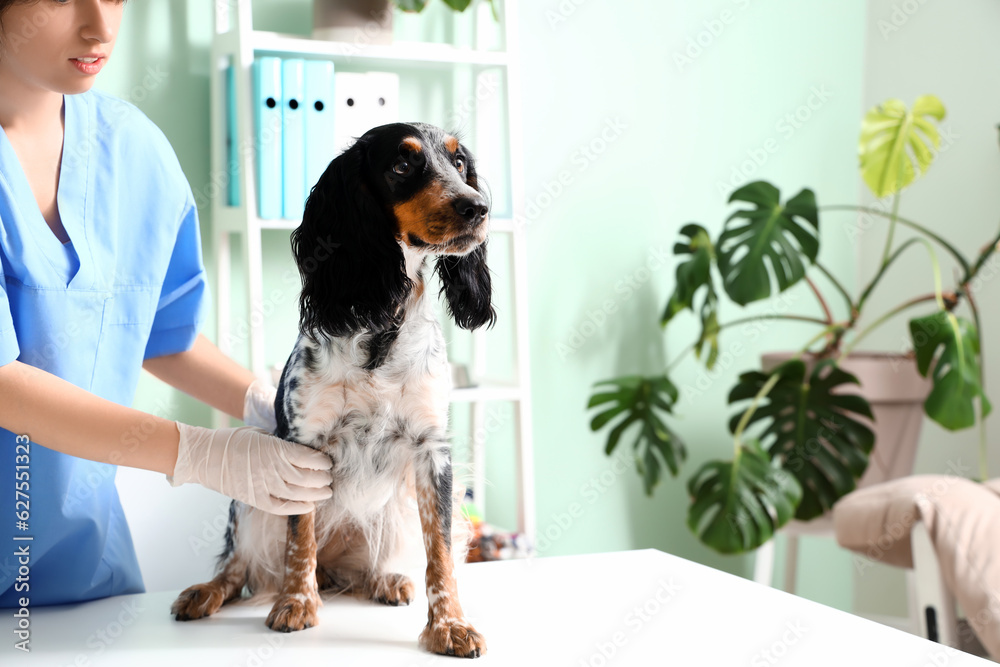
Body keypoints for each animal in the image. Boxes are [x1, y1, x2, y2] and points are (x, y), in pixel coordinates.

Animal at [170, 121, 494, 656]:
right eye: (402, 165)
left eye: (460, 162)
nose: (478, 206)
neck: (383, 324)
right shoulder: (302, 452)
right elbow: (299, 540)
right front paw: (297, 603)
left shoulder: (432, 453)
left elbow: (441, 554)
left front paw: (449, 625)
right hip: (250, 501)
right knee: (239, 565)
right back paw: (207, 592)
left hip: (394, 508)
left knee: (364, 567)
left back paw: (385, 579)